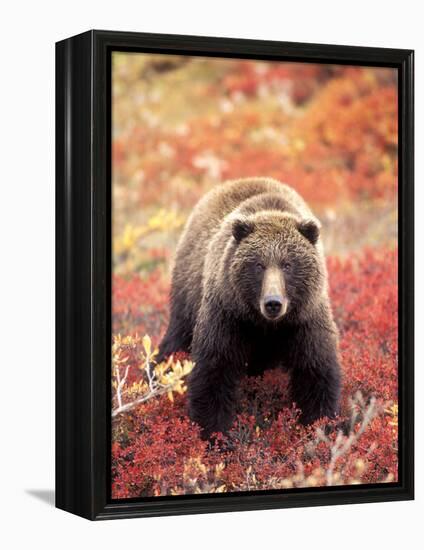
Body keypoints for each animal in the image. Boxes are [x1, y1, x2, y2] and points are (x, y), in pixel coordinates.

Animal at [159, 179, 342, 442]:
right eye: (258, 264)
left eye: (288, 264)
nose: (273, 302)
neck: (266, 325)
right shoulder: (228, 315)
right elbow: (213, 371)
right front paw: (215, 435)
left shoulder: (305, 320)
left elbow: (316, 372)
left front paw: (319, 429)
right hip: (188, 290)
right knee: (176, 339)